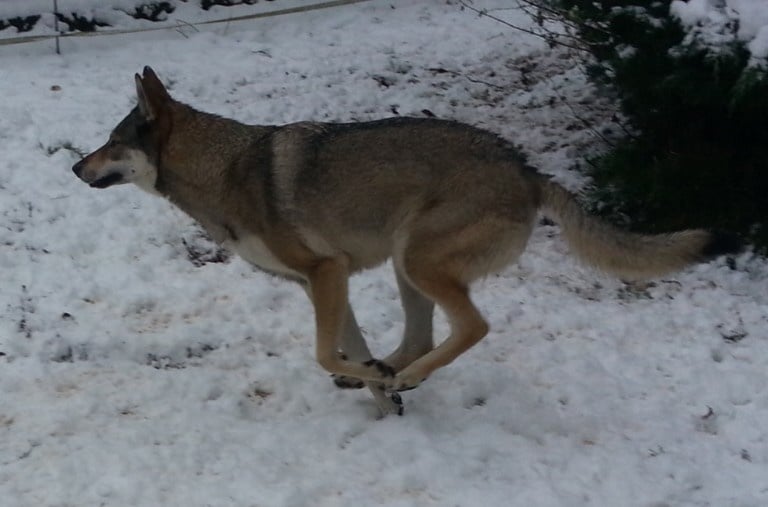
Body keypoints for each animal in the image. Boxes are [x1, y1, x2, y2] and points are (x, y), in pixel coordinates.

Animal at [75, 66, 740, 416]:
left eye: (111, 143)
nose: (75, 167)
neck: (224, 170)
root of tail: (525, 168)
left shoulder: (326, 272)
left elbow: (321, 352)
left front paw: (373, 381)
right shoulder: (323, 282)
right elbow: (345, 346)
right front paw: (373, 383)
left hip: (416, 260)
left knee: (471, 328)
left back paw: (409, 375)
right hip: (404, 265)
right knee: (421, 335)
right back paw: (395, 374)